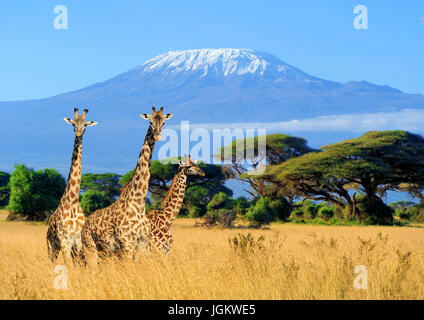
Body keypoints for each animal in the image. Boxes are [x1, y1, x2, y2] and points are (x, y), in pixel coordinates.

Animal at [45, 109, 98, 264]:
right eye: (73, 124)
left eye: (85, 125)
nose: (78, 133)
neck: (73, 201)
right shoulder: (65, 241)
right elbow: (67, 264)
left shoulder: (78, 241)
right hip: (52, 245)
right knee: (51, 261)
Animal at [82, 106, 173, 262]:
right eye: (150, 122)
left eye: (164, 122)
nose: (157, 136)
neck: (138, 203)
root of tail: (84, 225)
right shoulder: (126, 244)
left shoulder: (143, 244)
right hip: (91, 249)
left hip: (104, 251)